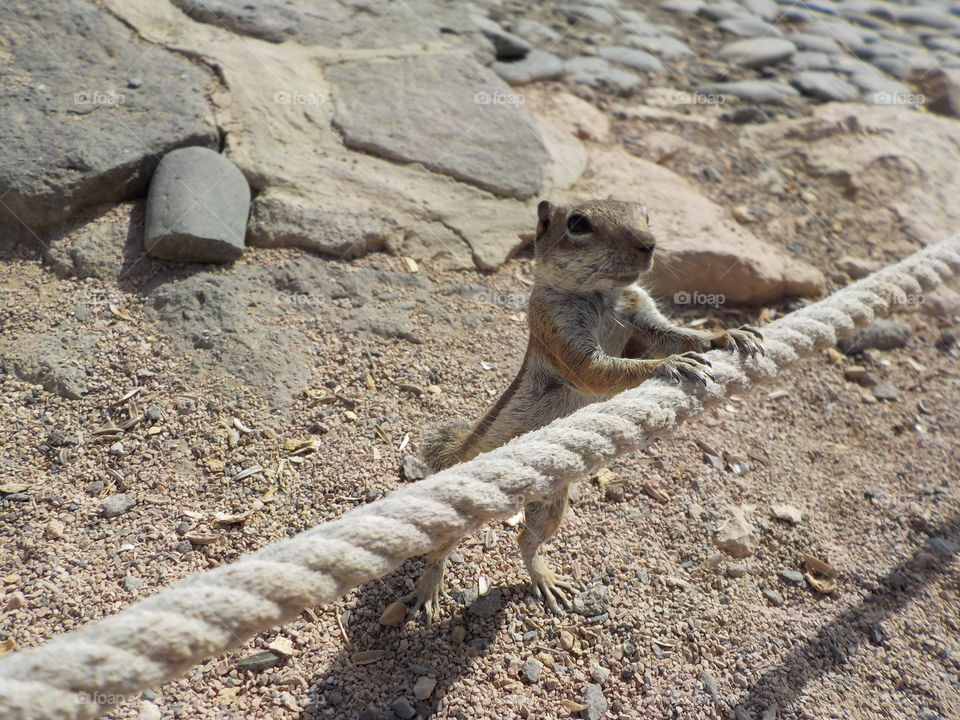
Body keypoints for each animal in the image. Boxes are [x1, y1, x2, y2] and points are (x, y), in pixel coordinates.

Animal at [406, 197, 764, 620]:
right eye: (578, 224)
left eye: (645, 214)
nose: (649, 243)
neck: (603, 294)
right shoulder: (558, 328)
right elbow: (600, 369)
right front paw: (668, 365)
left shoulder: (645, 318)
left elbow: (677, 335)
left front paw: (726, 334)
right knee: (439, 551)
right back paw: (428, 590)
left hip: (550, 506)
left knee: (526, 540)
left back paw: (545, 579)